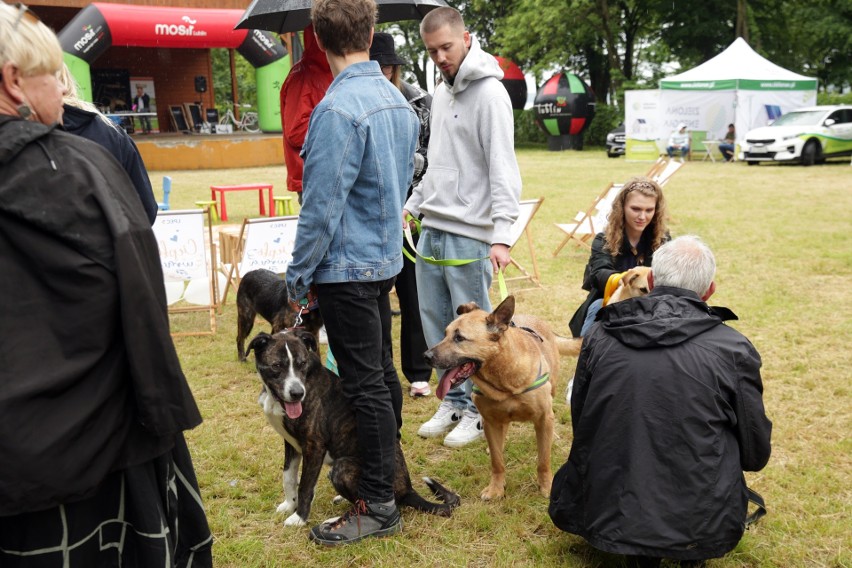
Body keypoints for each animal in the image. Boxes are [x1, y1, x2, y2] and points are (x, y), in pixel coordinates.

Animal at [424, 296, 576, 500]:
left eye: (459, 338)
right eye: (445, 334)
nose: (426, 356)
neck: (504, 381)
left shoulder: (543, 418)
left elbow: (543, 461)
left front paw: (546, 486)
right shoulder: (491, 421)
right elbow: (497, 462)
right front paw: (496, 488)